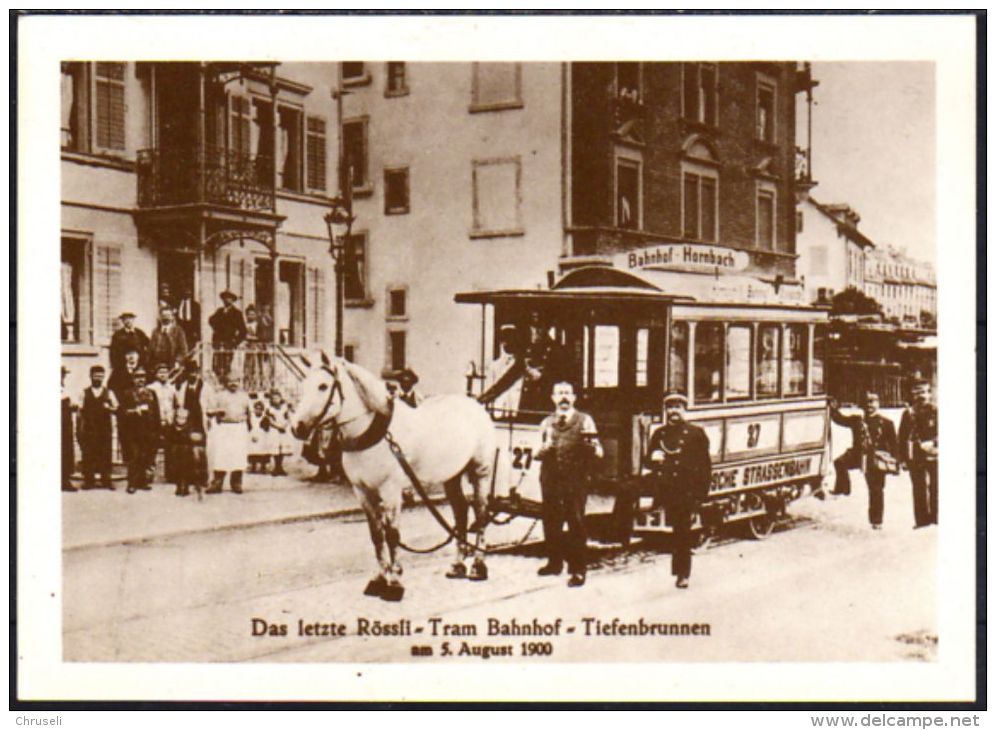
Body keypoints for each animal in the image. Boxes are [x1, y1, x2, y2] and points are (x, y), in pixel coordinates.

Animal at [292, 352, 502, 596]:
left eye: (323, 386)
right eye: (303, 385)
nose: (297, 428)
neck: (375, 434)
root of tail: (476, 404)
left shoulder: (390, 491)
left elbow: (392, 534)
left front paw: (394, 581)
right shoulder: (362, 491)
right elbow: (376, 534)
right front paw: (378, 578)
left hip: (481, 472)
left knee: (481, 513)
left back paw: (478, 566)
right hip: (452, 476)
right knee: (461, 512)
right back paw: (457, 566)